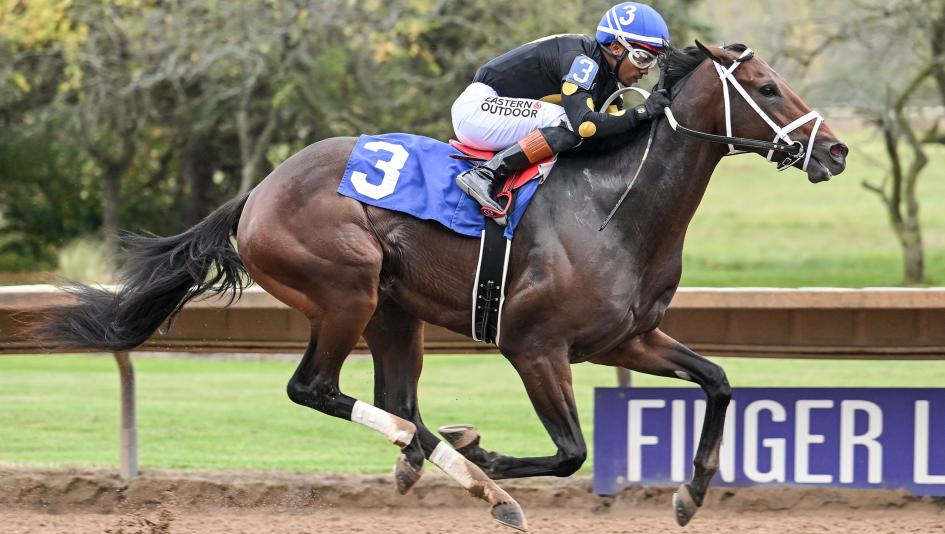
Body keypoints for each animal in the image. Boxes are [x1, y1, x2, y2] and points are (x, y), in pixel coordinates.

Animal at [28, 41, 848, 531]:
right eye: (767, 88)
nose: (836, 151)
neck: (615, 205)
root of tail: (256, 193)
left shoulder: (626, 338)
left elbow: (717, 381)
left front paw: (691, 492)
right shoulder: (533, 345)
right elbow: (571, 451)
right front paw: (494, 462)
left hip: (395, 312)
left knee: (394, 400)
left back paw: (435, 455)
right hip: (346, 290)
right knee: (316, 389)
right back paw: (475, 476)